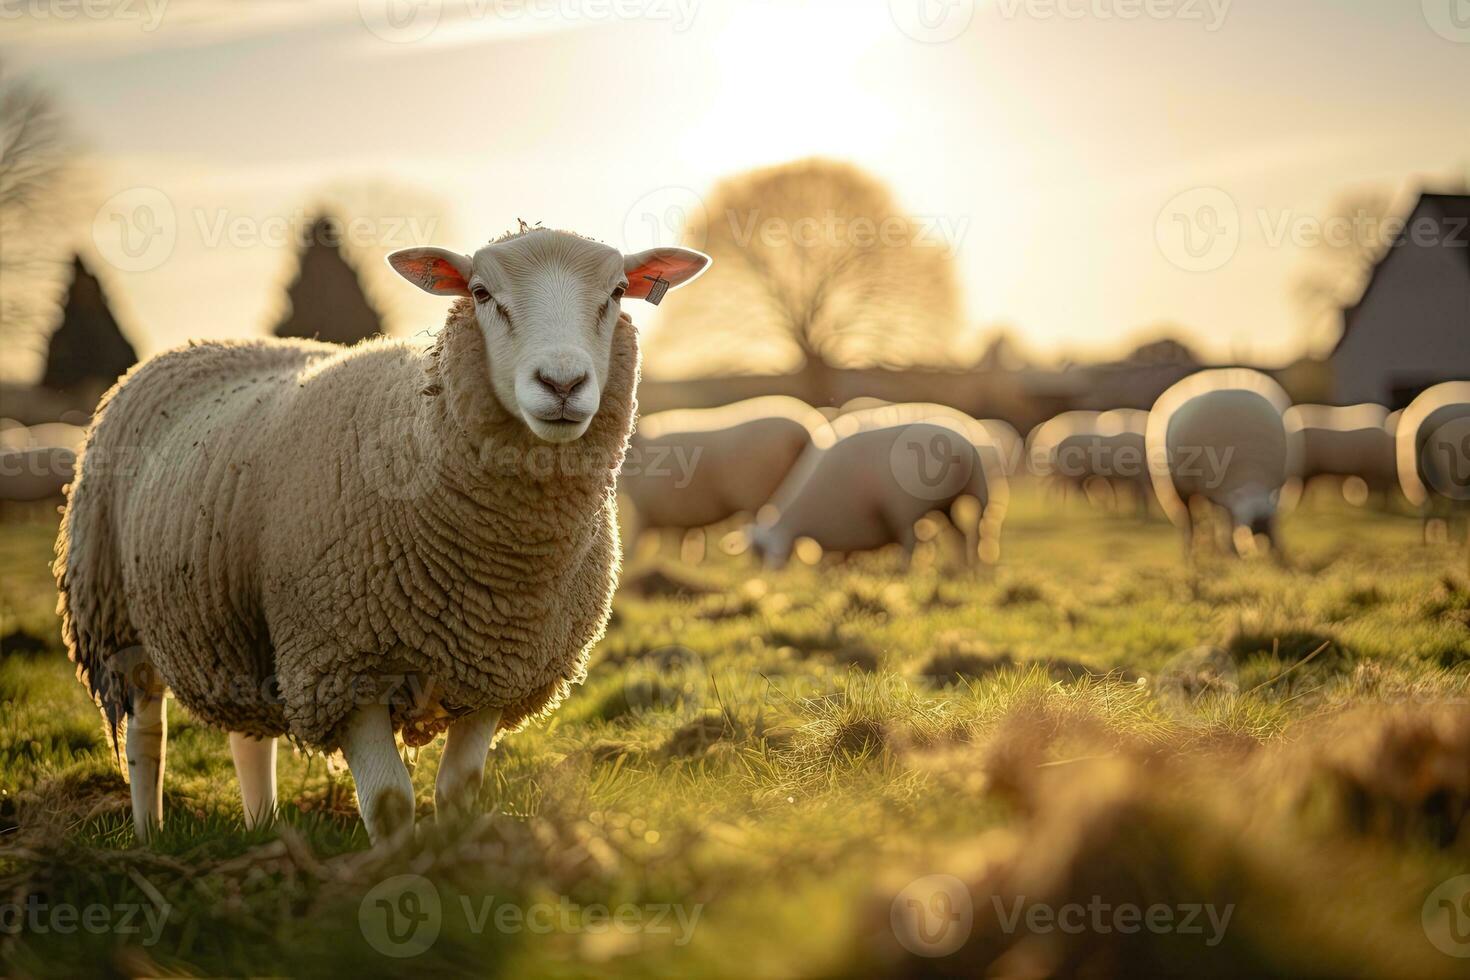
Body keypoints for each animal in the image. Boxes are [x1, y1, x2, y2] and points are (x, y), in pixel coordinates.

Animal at [60, 230, 714, 846]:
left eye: (617, 292)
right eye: (481, 294)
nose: (562, 382)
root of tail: (197, 346)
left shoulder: (496, 666)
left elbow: (460, 790)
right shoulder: (341, 668)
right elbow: (391, 804)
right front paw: (395, 870)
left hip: (240, 626)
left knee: (249, 739)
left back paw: (265, 826)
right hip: (115, 613)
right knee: (147, 736)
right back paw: (150, 835)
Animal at [752, 411, 1005, 567]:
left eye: (764, 550)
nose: (769, 578)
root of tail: (965, 444)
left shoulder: (894, 512)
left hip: (971, 493)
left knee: (978, 529)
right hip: (947, 503)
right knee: (960, 534)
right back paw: (963, 566)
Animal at [1146, 367, 1299, 558]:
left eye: (1269, 521)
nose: (1262, 539)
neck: (1251, 477)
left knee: (1215, 517)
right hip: (1184, 488)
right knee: (1189, 518)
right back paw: (1192, 554)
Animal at [1393, 379, 1470, 543]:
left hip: (1416, 474)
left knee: (1429, 506)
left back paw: (1429, 541)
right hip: (1447, 473)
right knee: (1445, 505)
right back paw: (1449, 540)